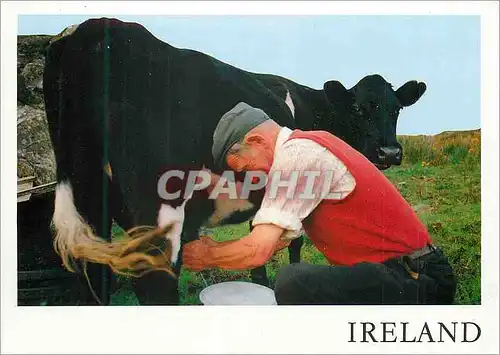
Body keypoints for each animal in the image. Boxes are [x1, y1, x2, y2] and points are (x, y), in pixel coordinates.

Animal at [42, 17, 426, 306]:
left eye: (397, 109)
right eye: (359, 109)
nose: (390, 153)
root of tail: (92, 28)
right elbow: (294, 244)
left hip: (88, 201)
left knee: (94, 279)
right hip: (156, 212)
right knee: (154, 286)